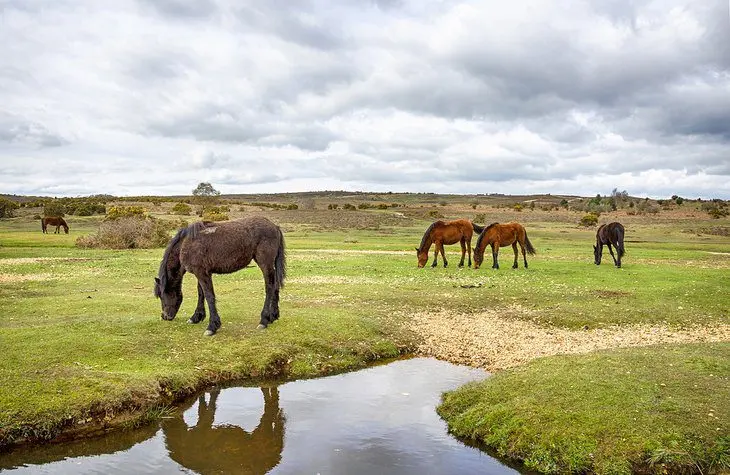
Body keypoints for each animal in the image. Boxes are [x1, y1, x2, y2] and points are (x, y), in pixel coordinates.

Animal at [155, 218, 286, 336]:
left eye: (162, 295)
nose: (164, 316)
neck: (186, 243)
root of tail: (275, 227)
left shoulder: (202, 273)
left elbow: (209, 296)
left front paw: (212, 326)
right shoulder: (202, 273)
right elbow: (201, 293)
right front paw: (196, 317)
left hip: (265, 263)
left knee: (270, 286)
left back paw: (264, 320)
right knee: (275, 285)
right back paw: (273, 316)